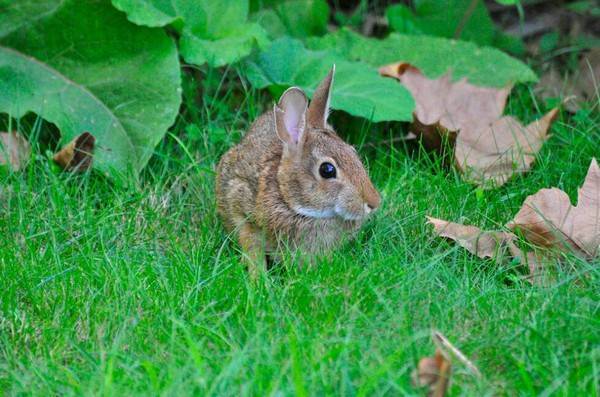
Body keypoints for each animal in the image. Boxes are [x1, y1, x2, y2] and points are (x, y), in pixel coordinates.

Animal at [218, 67, 382, 276]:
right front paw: (258, 279)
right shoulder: (243, 210)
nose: (374, 202)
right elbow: (252, 248)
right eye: (327, 170)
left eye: (353, 152)